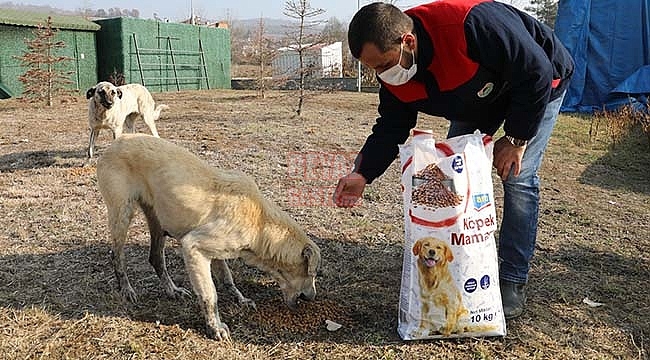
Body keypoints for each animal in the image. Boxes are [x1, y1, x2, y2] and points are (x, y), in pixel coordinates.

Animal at [95, 134, 318, 340]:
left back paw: (173, 291)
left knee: (156, 258)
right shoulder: (193, 247)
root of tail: (119, 139)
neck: (259, 220)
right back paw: (126, 289)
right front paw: (215, 327)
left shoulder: (217, 253)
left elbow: (227, 279)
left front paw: (241, 300)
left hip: (157, 220)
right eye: (313, 273)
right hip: (122, 214)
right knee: (117, 256)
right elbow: (210, 295)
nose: (313, 298)